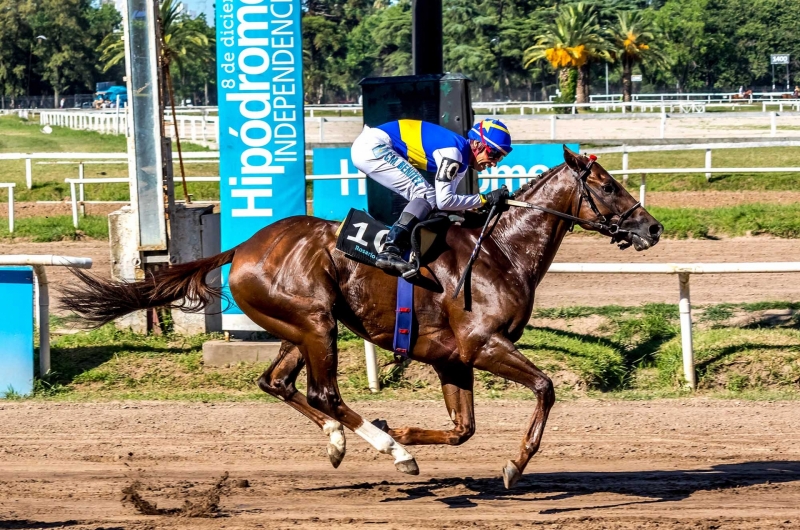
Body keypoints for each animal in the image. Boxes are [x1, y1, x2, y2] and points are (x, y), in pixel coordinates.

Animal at [61, 144, 664, 486]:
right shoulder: (483, 345)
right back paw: (390, 452)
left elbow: (462, 430)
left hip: (295, 326)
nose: (652, 227)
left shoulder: (452, 359)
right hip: (316, 323)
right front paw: (514, 465)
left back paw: (341, 440)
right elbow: (544, 387)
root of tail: (243, 247)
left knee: (277, 381)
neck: (500, 251)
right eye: (607, 185)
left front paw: (398, 425)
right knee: (323, 391)